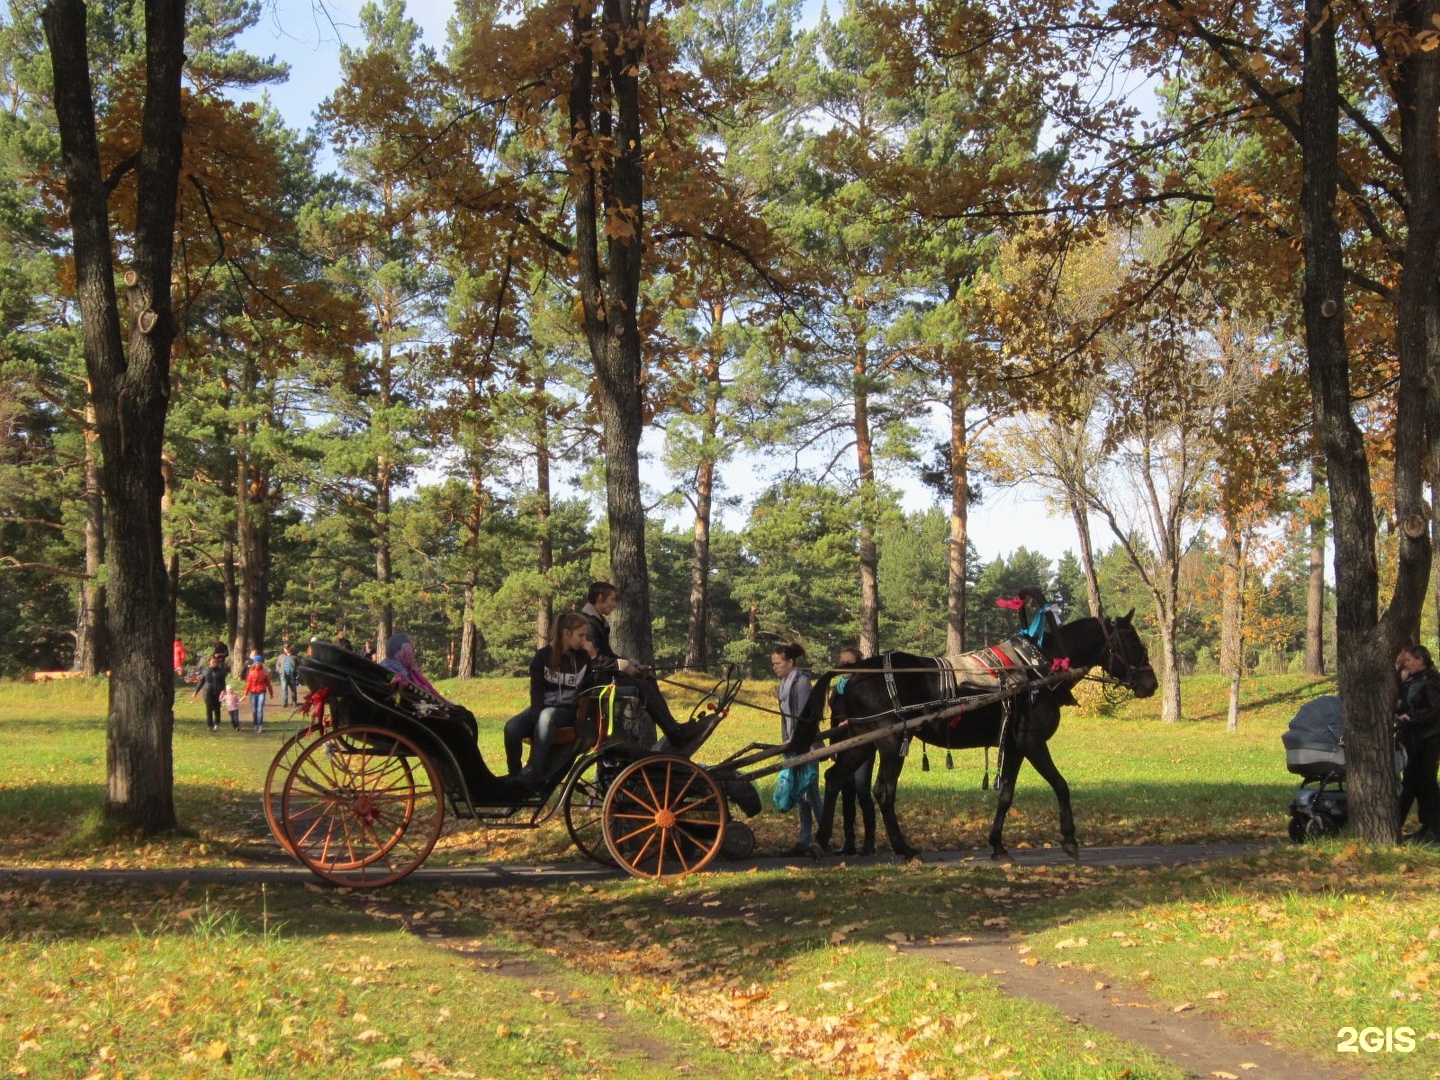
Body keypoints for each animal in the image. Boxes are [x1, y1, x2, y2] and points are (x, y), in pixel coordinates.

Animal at [789, 610, 1157, 864]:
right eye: (1134, 643)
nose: (1150, 684)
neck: (1036, 670)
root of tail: (854, 673)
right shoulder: (1032, 742)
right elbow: (1061, 785)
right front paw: (1069, 839)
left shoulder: (1014, 746)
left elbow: (1006, 794)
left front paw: (997, 845)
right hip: (890, 741)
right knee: (883, 791)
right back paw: (903, 848)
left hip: (861, 741)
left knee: (834, 777)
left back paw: (821, 841)